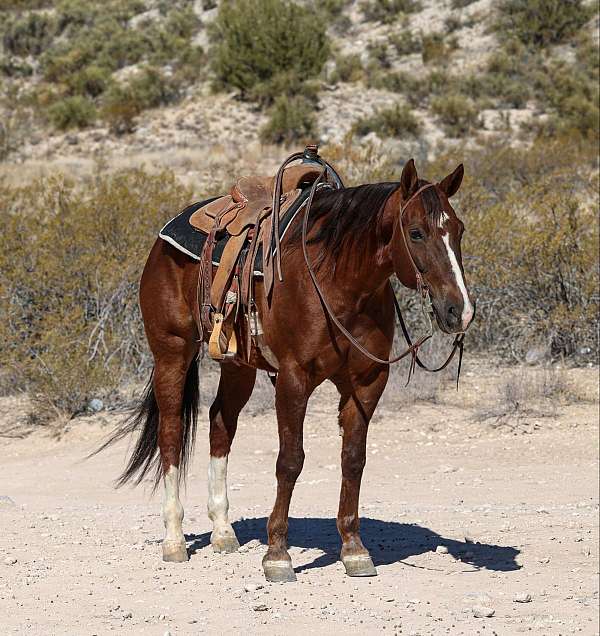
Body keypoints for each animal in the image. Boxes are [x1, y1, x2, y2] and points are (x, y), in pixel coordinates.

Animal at [97, 158, 474, 580]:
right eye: (416, 232)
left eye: (458, 229)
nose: (459, 311)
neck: (338, 280)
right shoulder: (294, 378)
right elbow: (290, 461)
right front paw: (277, 554)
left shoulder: (366, 382)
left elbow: (353, 459)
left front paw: (354, 548)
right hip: (171, 352)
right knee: (171, 432)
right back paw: (174, 538)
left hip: (238, 365)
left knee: (220, 424)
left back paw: (223, 531)